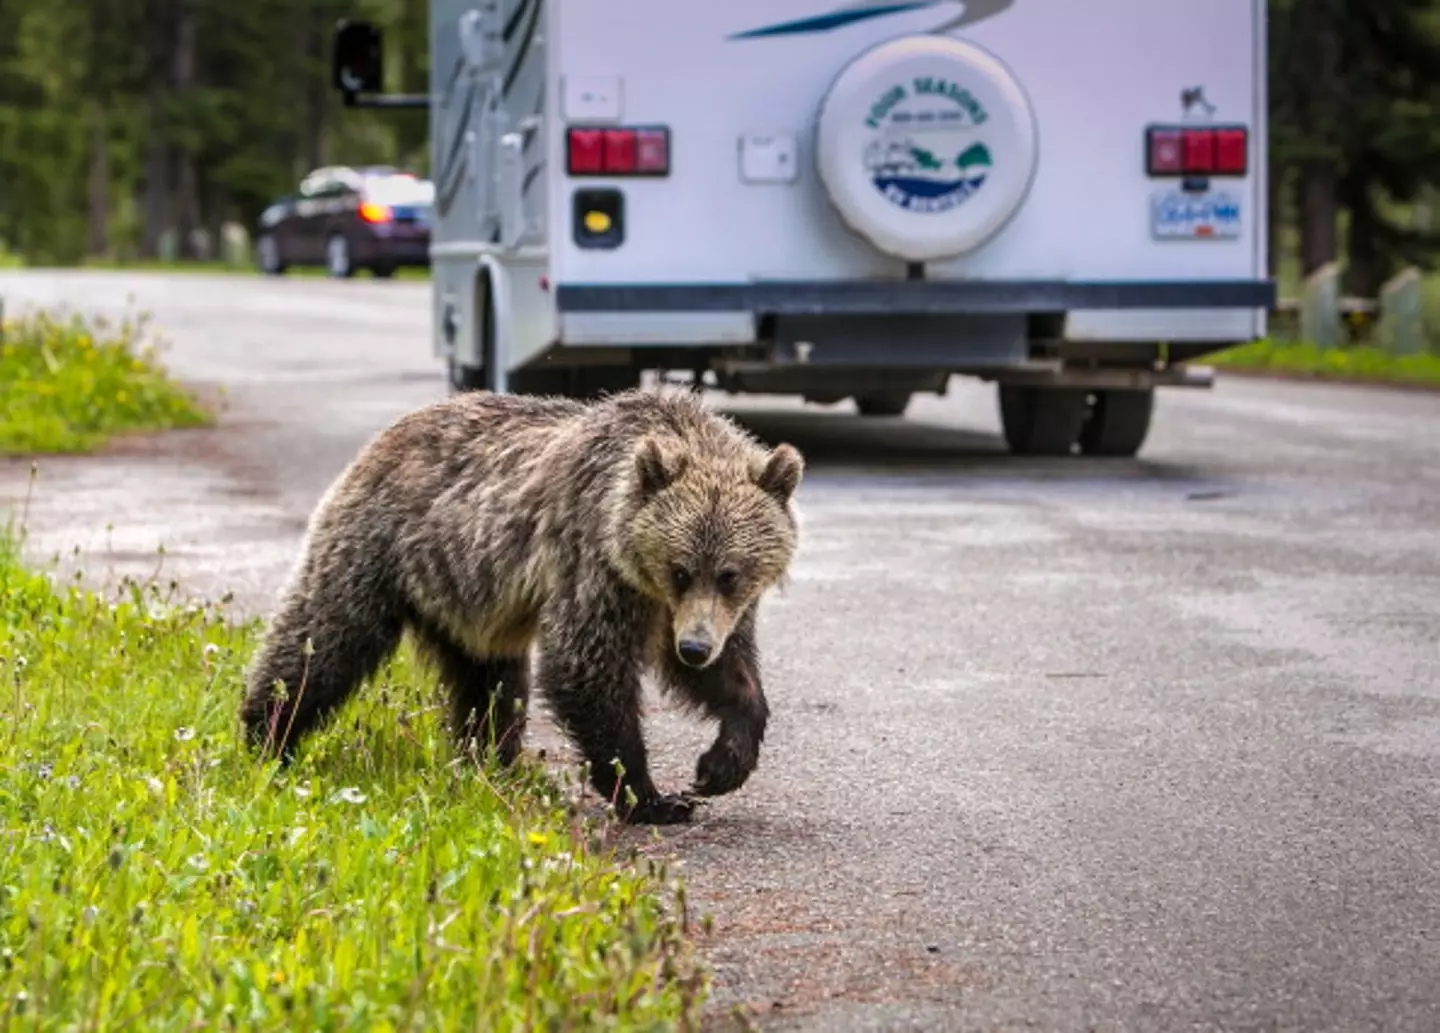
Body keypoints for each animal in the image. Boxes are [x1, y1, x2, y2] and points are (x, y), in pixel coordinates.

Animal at [236, 386, 800, 824]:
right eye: (680, 569)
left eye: (730, 574)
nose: (694, 647)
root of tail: (389, 433)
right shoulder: (597, 567)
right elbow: (585, 666)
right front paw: (651, 797)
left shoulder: (700, 612)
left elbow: (732, 676)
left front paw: (721, 764)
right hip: (377, 548)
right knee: (324, 637)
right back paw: (266, 736)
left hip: (468, 601)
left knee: (491, 683)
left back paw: (491, 761)